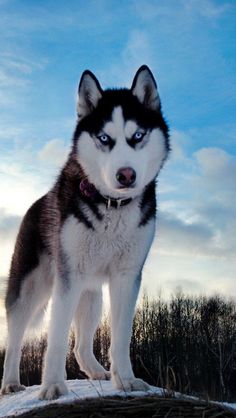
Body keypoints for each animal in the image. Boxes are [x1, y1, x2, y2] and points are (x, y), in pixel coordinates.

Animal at [0, 64, 169, 398]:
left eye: (138, 136)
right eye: (104, 137)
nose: (126, 175)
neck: (111, 206)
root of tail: (35, 204)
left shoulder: (126, 276)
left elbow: (120, 337)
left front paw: (125, 380)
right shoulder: (68, 278)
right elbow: (55, 339)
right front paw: (52, 385)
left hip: (91, 296)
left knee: (80, 345)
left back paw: (97, 372)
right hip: (31, 288)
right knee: (15, 338)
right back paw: (10, 382)